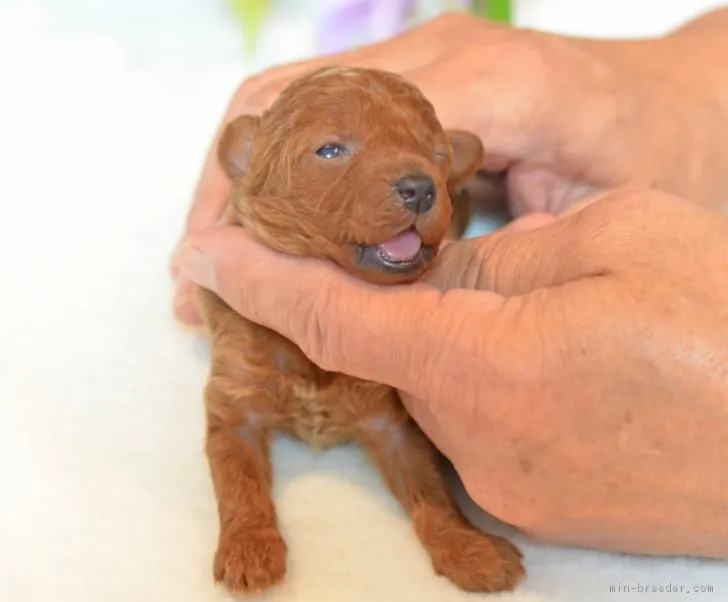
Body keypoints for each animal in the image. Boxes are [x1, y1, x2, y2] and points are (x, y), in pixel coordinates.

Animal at [195, 64, 524, 592]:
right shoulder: (234, 397)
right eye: (331, 151)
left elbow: (431, 490)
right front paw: (249, 550)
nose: (421, 187)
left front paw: (469, 549)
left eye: (436, 155)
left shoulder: (395, 423)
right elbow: (239, 477)